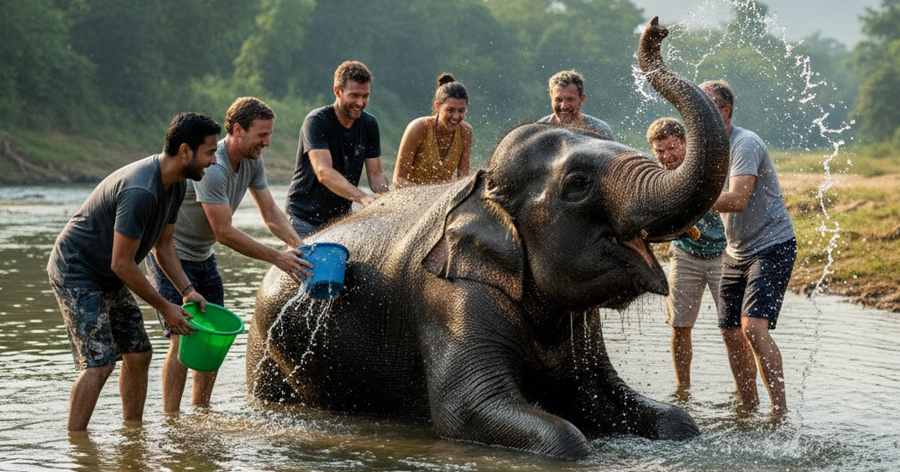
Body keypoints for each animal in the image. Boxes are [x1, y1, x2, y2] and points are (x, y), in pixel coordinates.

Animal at [247, 17, 730, 460]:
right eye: (577, 183)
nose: (657, 28)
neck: (484, 191)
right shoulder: (447, 296)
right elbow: (477, 413)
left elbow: (644, 410)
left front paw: (675, 425)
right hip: (265, 346)